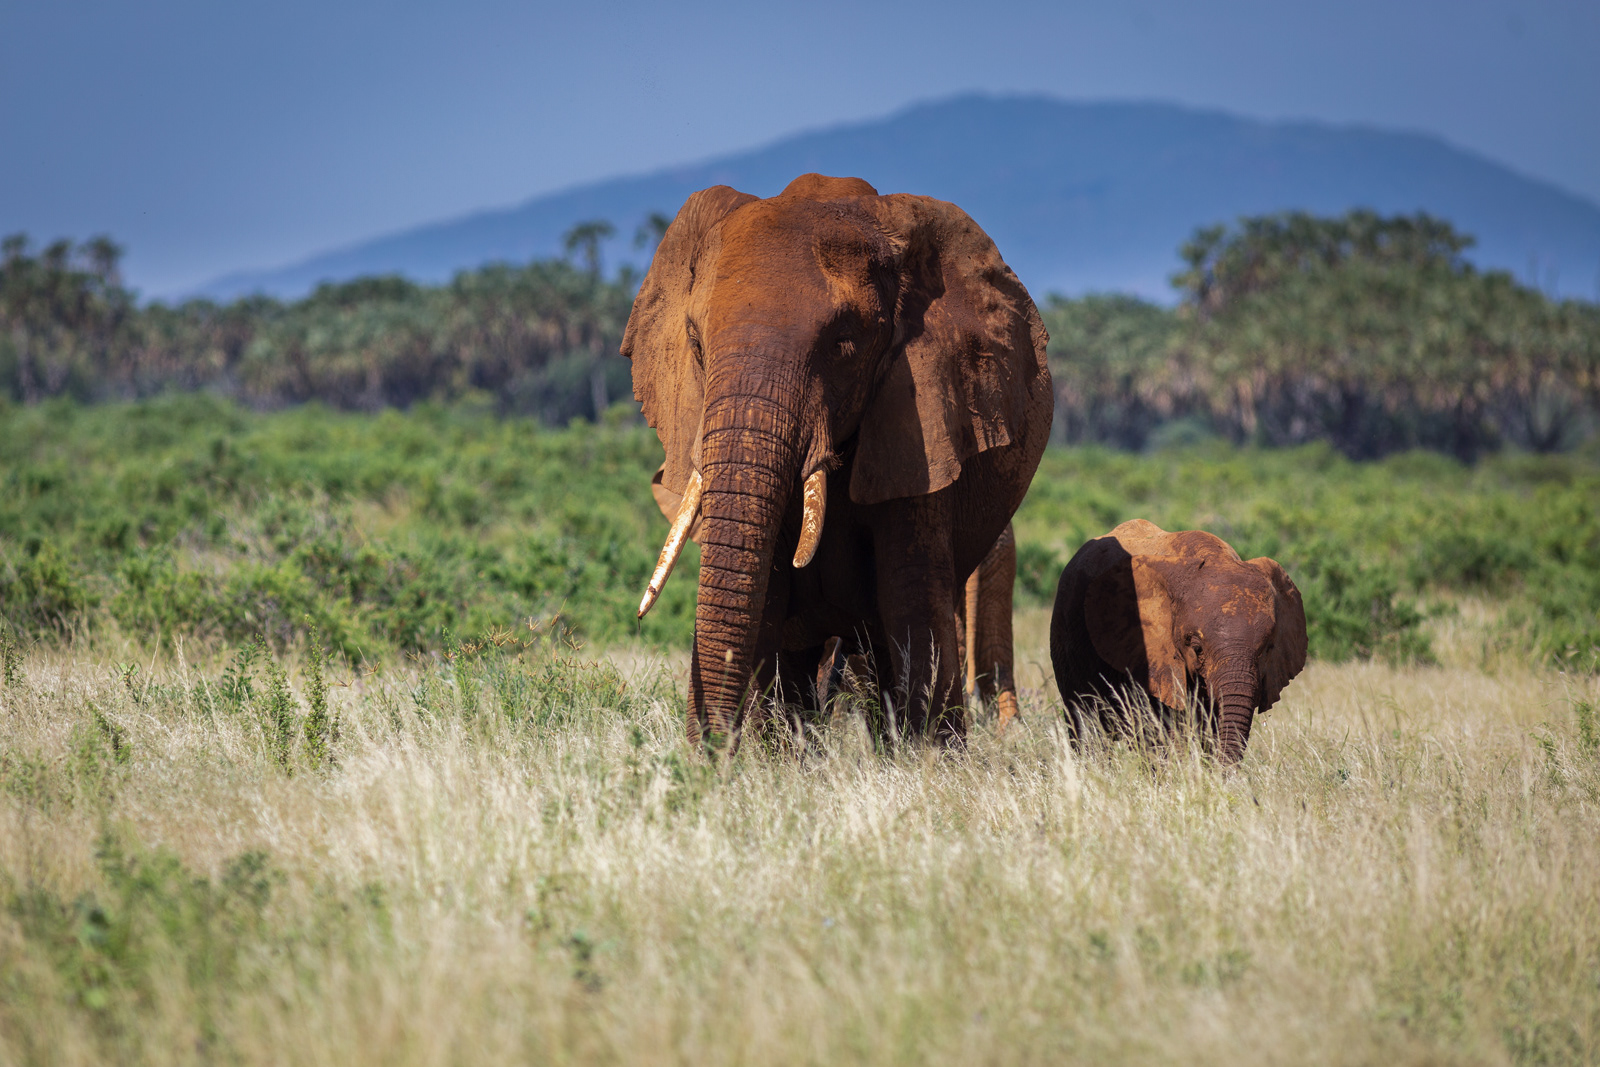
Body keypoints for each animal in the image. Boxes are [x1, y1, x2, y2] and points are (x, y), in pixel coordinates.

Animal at [625, 173, 1052, 749]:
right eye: (695, 342)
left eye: (844, 344)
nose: (705, 755)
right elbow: (766, 605)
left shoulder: (922, 418)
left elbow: (912, 603)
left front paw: (930, 759)